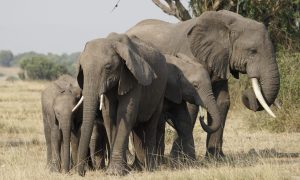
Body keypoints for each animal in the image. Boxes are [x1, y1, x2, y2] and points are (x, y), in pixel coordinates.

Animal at [74, 32, 169, 176]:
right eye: (82, 69)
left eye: (108, 67)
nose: (82, 173)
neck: (113, 42)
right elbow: (109, 117)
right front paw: (120, 170)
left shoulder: (133, 78)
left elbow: (126, 113)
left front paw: (115, 172)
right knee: (137, 129)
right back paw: (138, 168)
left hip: (160, 92)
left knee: (151, 124)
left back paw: (150, 168)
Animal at [127, 10, 280, 158]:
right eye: (253, 51)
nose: (247, 94)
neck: (230, 22)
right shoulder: (189, 55)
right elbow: (191, 106)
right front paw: (180, 158)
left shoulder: (220, 59)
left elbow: (222, 101)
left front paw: (216, 158)